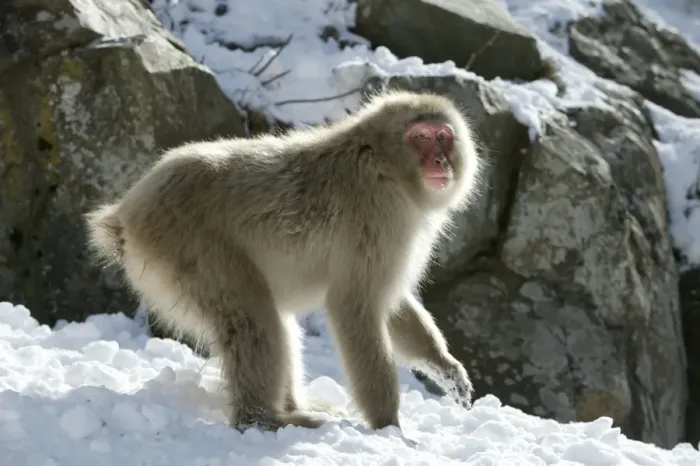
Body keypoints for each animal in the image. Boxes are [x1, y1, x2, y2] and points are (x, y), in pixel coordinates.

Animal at [85, 90, 482, 434]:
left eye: (443, 137)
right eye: (421, 137)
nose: (440, 161)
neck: (384, 161)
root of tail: (129, 210)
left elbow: (392, 302)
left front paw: (446, 369)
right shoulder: (380, 213)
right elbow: (354, 305)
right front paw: (390, 429)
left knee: (273, 321)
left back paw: (291, 408)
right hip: (188, 246)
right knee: (253, 319)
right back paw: (263, 419)